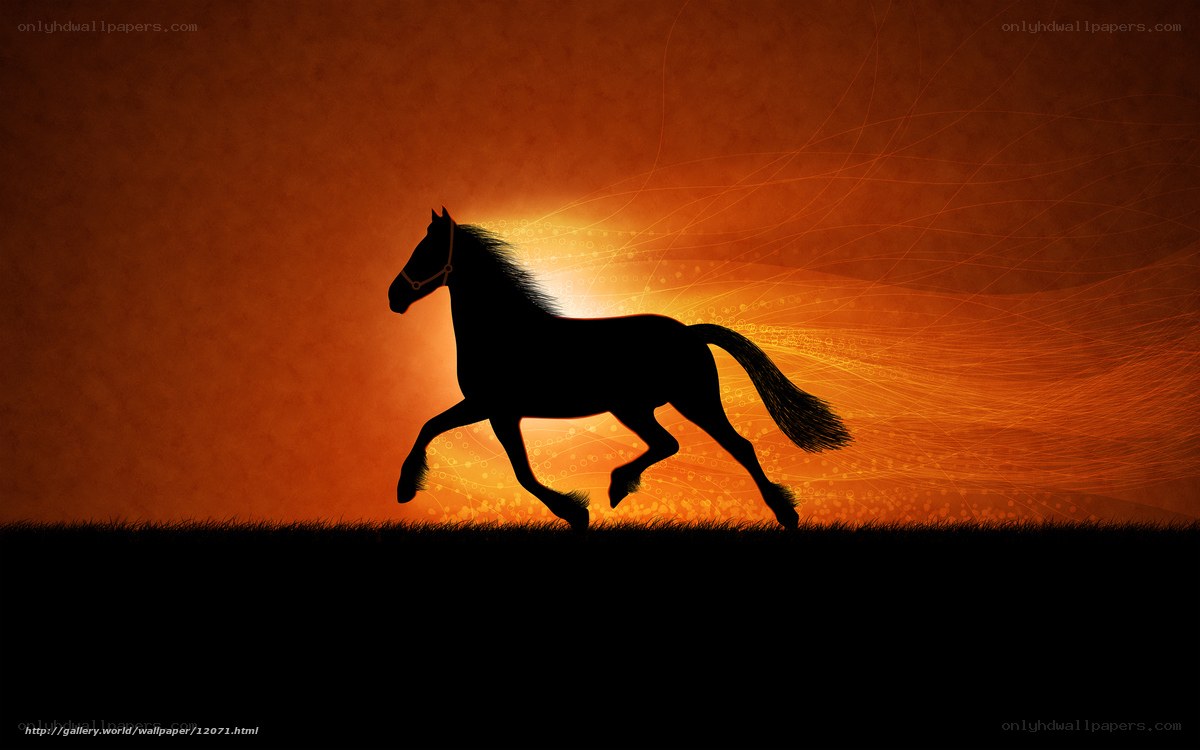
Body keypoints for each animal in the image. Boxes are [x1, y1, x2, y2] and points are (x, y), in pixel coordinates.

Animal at [389, 208, 851, 530]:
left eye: (425, 251)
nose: (394, 297)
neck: (504, 330)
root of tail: (689, 332)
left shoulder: (495, 409)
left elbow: (517, 470)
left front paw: (575, 512)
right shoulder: (490, 408)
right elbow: (433, 428)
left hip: (689, 401)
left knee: (738, 446)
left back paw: (785, 514)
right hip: (636, 408)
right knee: (669, 444)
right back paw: (619, 486)